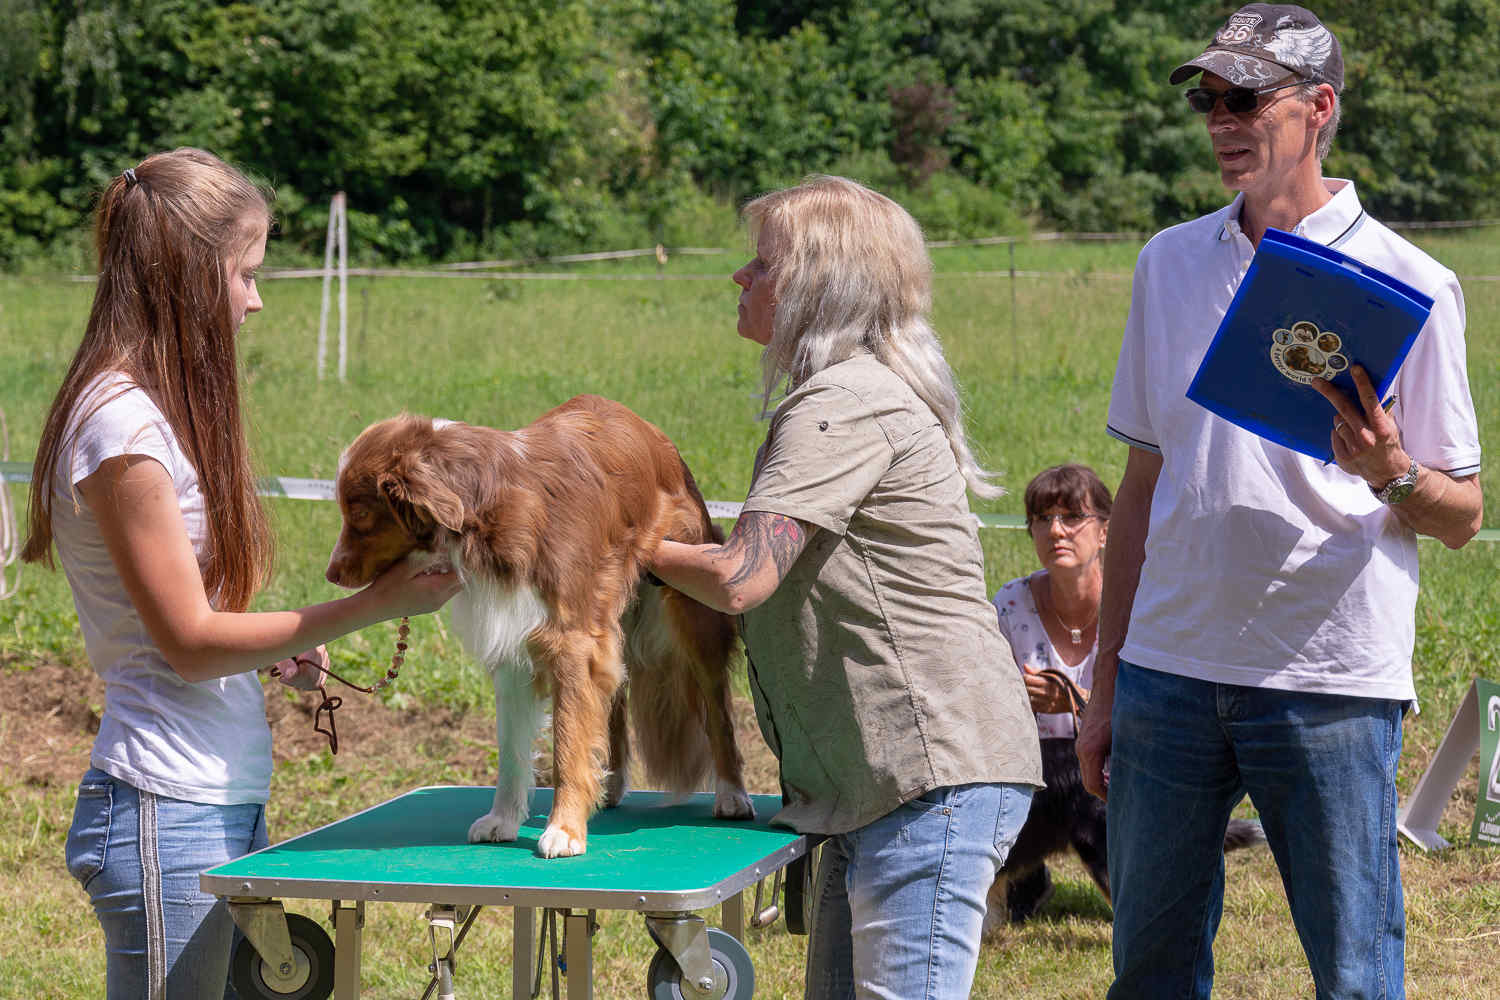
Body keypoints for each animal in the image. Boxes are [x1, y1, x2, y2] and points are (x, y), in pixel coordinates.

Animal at [324, 395, 756, 857]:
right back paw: (610, 783)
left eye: (360, 513)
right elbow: (512, 749)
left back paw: (732, 793)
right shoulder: (514, 640)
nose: (331, 574)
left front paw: (564, 828)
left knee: (718, 706)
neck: (486, 510)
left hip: (696, 602)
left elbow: (567, 741)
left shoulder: (571, 642)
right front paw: (503, 819)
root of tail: (649, 430)